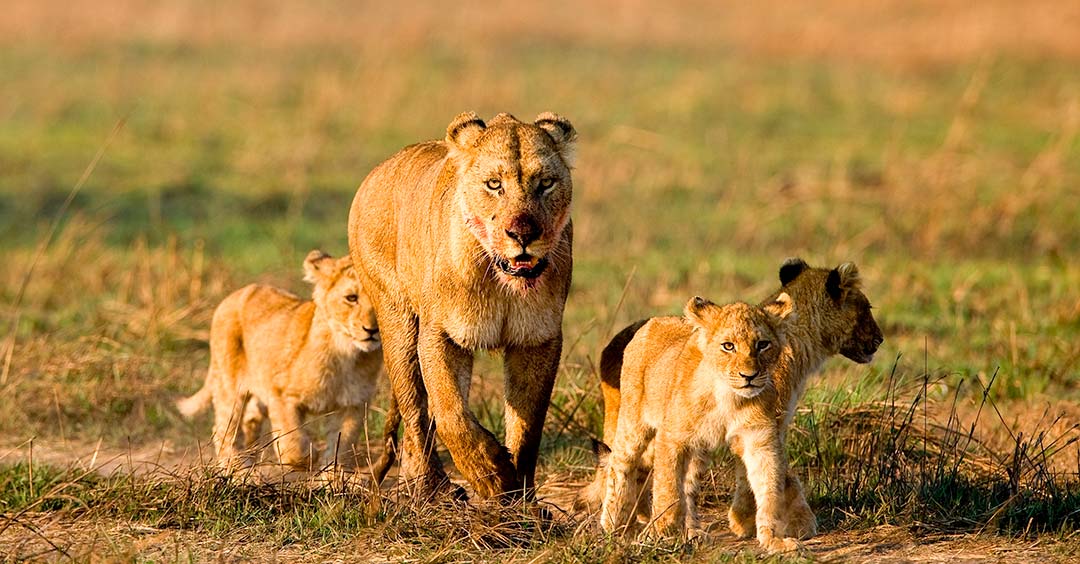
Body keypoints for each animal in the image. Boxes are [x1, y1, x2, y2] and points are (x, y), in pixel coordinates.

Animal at [349, 111, 578, 499]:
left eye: (546, 183)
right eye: (494, 184)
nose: (523, 234)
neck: (502, 281)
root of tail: (377, 171)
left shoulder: (538, 339)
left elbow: (528, 426)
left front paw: (522, 498)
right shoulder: (441, 334)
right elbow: (450, 412)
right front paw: (492, 474)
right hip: (397, 323)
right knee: (415, 413)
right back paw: (433, 489)